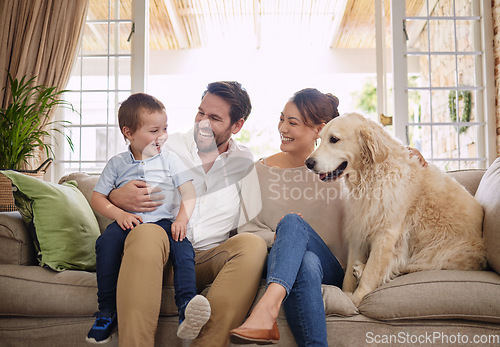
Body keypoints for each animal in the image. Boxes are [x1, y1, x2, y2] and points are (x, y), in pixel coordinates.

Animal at [306, 113, 486, 306]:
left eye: (334, 139)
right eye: (320, 139)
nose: (308, 162)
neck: (371, 175)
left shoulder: (386, 232)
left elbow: (372, 271)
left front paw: (356, 299)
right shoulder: (359, 228)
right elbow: (348, 274)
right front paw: (345, 293)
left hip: (435, 254)